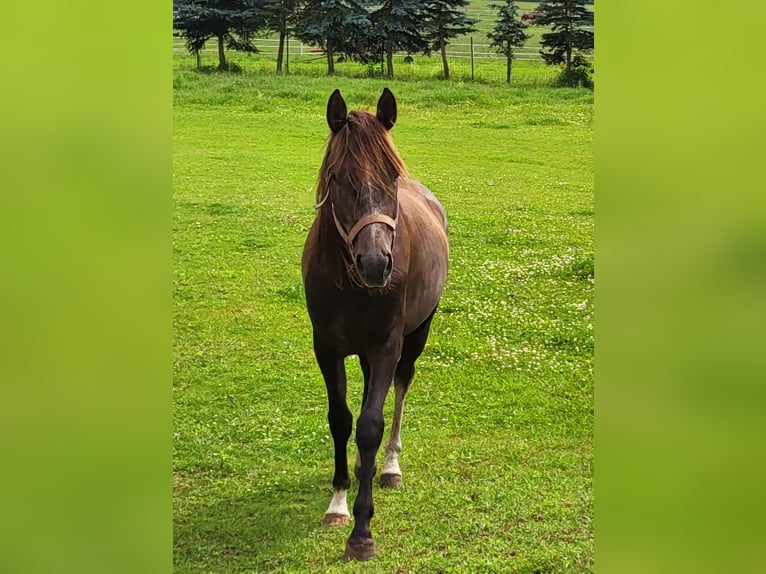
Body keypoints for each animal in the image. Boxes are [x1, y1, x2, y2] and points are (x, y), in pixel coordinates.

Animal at [302, 90, 450, 564]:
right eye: (337, 178)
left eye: (391, 175)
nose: (374, 263)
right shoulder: (327, 348)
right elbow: (340, 419)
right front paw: (338, 503)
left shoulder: (386, 346)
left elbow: (370, 425)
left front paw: (362, 532)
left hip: (416, 334)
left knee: (400, 388)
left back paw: (389, 466)